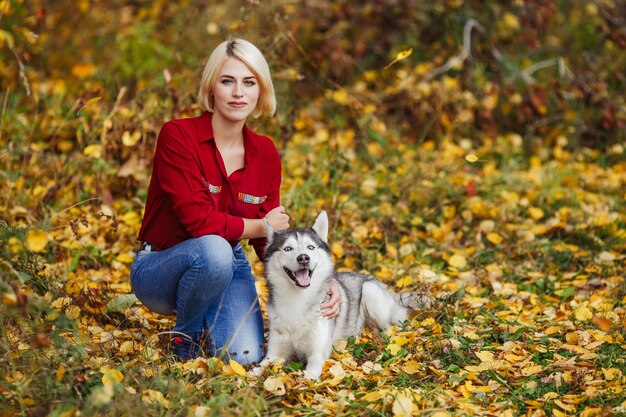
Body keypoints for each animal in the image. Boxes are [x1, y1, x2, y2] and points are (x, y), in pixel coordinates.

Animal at [260, 211, 410, 376]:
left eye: (310, 247)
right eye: (287, 249)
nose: (304, 258)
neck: (297, 299)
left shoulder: (317, 355)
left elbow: (308, 375)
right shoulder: (273, 353)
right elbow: (258, 368)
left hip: (370, 291)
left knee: (392, 326)